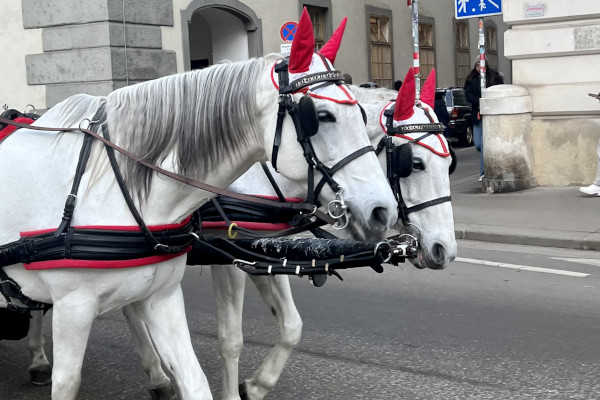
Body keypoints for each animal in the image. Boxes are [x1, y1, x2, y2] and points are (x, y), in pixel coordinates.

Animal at [0, 10, 398, 400]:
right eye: (321, 116)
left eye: (362, 117)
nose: (383, 210)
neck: (109, 185)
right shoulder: (74, 307)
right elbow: (68, 381)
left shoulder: (166, 294)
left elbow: (205, 376)